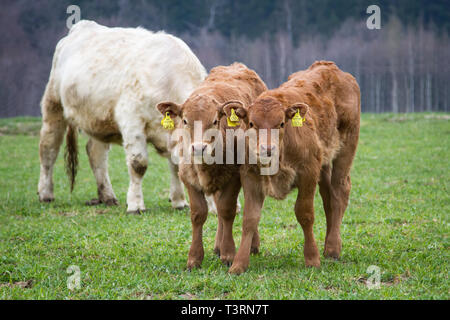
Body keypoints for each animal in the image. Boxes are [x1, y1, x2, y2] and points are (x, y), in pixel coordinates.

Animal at [37, 21, 208, 214]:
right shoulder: (132, 121)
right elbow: (138, 164)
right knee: (49, 148)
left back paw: (107, 196)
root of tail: (82, 26)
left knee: (96, 153)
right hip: (53, 105)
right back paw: (46, 193)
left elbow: (175, 164)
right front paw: (135, 205)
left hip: (98, 119)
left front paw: (179, 201)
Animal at [157, 62, 268, 268]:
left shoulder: (234, 177)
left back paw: (251, 245)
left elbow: (227, 210)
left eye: (215, 121)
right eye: (185, 120)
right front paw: (194, 257)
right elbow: (199, 213)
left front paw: (229, 253)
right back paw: (217, 245)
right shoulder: (188, 178)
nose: (199, 148)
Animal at [227, 61, 360, 274]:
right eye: (252, 123)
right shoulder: (250, 176)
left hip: (346, 147)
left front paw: (312, 258)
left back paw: (333, 247)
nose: (267, 149)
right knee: (328, 196)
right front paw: (239, 264)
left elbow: (304, 214)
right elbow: (250, 219)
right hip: (323, 163)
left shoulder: (308, 172)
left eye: (281, 123)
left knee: (340, 192)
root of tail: (329, 66)